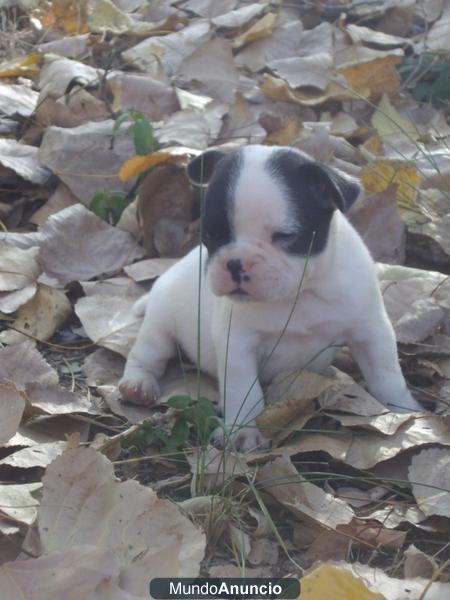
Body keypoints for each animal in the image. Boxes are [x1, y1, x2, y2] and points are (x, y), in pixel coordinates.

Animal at [118, 146, 422, 450]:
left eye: (284, 236)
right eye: (210, 234)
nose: (235, 262)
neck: (299, 294)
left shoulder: (370, 331)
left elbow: (386, 374)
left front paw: (403, 412)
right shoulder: (238, 346)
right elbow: (244, 390)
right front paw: (242, 431)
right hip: (160, 325)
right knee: (147, 354)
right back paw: (137, 385)